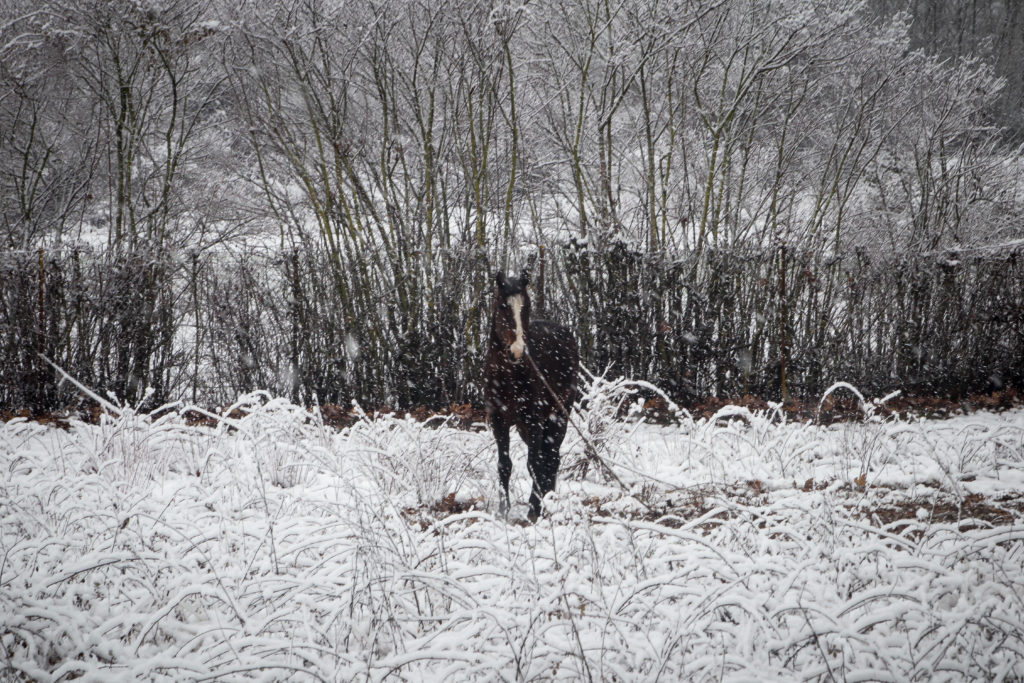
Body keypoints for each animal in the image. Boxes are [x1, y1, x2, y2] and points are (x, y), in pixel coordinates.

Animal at [481, 270, 577, 520]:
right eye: (503, 305)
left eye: (526, 307)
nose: (517, 351)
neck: (509, 376)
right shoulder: (499, 420)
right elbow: (504, 464)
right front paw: (503, 511)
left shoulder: (534, 421)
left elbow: (534, 464)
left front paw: (534, 510)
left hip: (558, 415)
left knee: (551, 458)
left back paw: (546, 501)